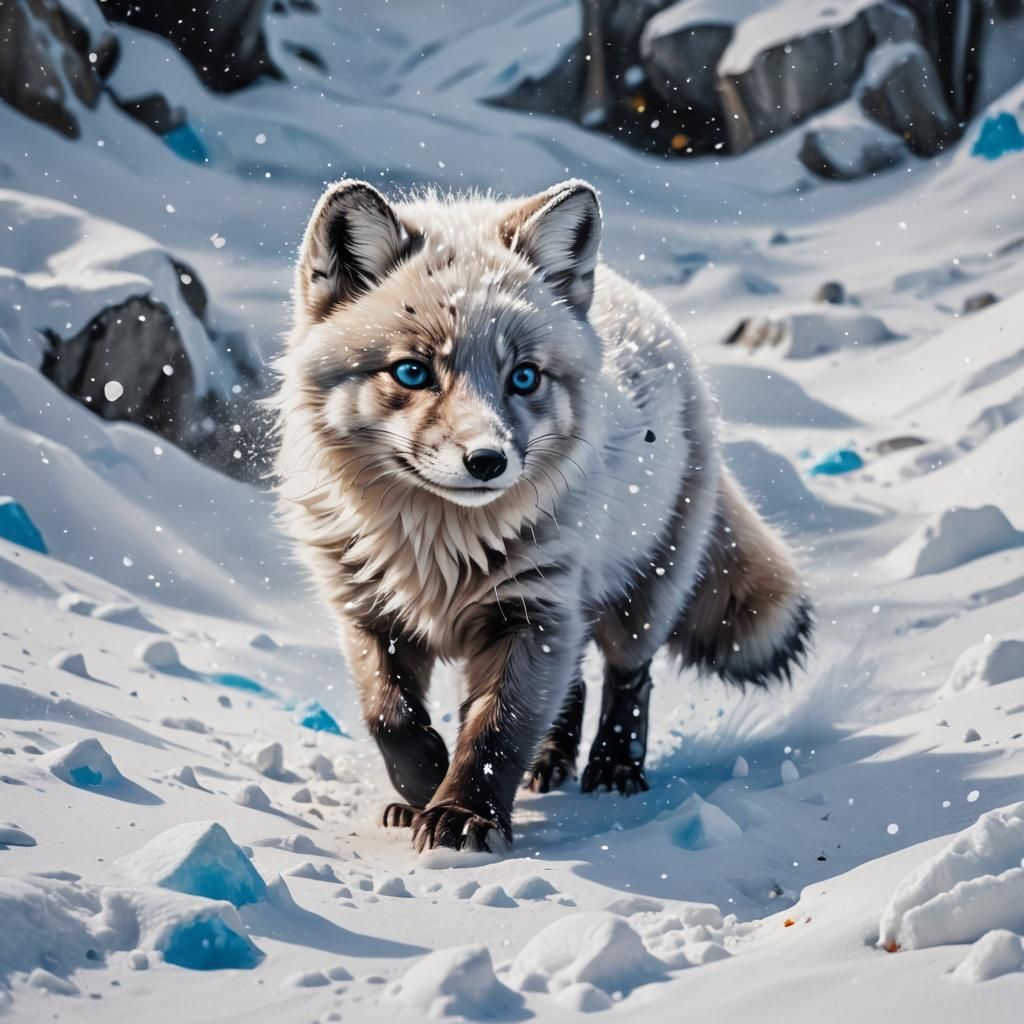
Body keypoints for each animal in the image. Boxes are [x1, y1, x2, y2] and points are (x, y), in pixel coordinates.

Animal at [274, 178, 812, 853]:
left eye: (524, 377)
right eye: (413, 372)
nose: (486, 461)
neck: (435, 551)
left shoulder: (534, 612)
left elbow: (495, 732)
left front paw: (462, 815)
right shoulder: (368, 613)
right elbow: (392, 720)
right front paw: (422, 789)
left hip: (642, 597)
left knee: (627, 679)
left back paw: (614, 767)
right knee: (573, 686)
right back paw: (549, 762)